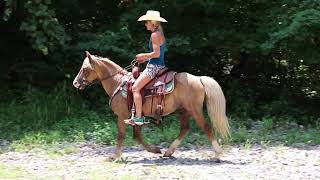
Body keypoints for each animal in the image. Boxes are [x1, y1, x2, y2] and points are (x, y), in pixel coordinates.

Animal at [73, 51, 230, 160]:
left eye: (85, 68)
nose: (75, 83)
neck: (118, 82)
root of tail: (198, 79)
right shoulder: (136, 117)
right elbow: (137, 136)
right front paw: (155, 150)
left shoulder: (121, 116)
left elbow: (121, 135)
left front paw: (115, 156)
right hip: (183, 111)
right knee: (185, 129)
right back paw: (168, 152)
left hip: (195, 110)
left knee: (206, 127)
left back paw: (217, 154)